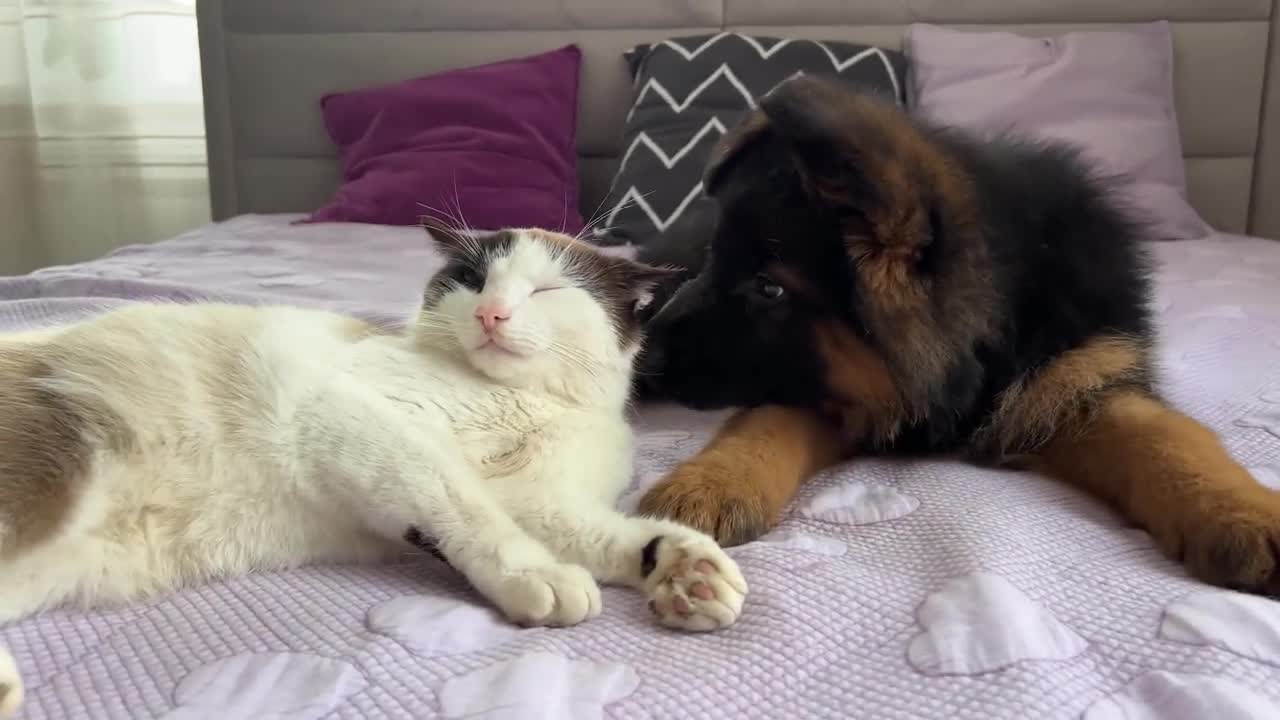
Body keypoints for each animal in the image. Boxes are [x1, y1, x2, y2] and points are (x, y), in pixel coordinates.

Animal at [0, 222, 752, 712]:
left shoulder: (540, 500)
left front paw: (686, 572)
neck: (528, 405)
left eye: (544, 290)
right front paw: (538, 577)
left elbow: (606, 533)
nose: (491, 311)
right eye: (471, 279)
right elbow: (463, 505)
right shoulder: (362, 421)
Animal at [634, 73, 1280, 591]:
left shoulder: (1081, 378)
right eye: (717, 262)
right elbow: (765, 417)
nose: (648, 356)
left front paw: (1244, 512)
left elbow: (1169, 437)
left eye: (769, 289)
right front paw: (713, 480)